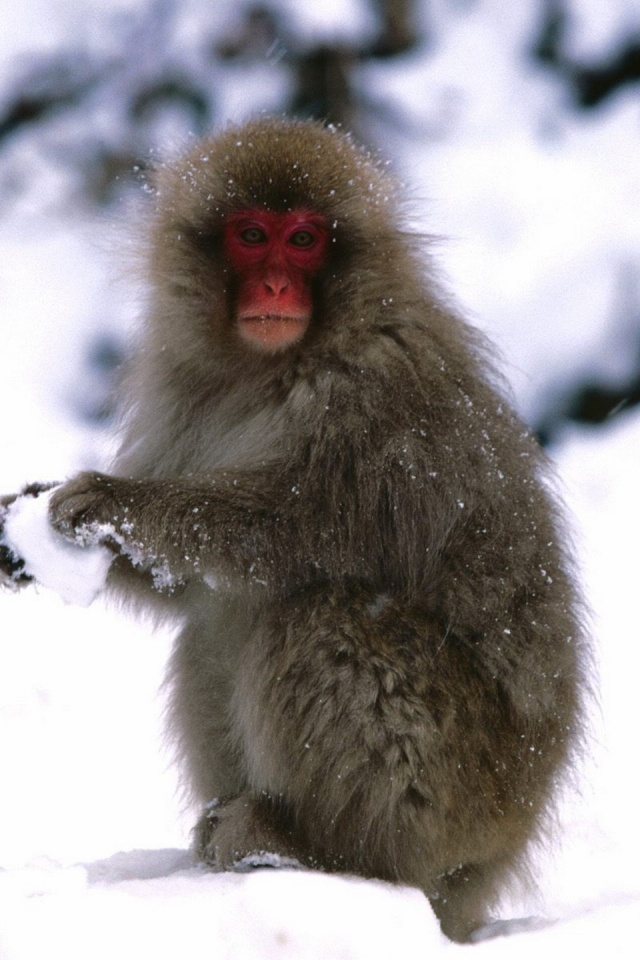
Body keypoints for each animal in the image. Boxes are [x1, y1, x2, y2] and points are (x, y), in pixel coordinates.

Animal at [0, 116, 584, 940]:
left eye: (304, 240)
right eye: (252, 236)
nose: (276, 286)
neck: (270, 368)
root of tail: (498, 859)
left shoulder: (374, 406)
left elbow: (280, 532)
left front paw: (108, 503)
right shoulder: (182, 386)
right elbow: (187, 587)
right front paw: (29, 527)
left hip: (454, 798)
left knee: (321, 614)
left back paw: (321, 853)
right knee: (213, 628)